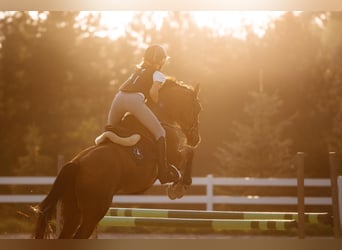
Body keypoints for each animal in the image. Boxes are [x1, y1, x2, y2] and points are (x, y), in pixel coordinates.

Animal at [33, 77, 202, 238]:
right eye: (198, 109)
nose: (196, 138)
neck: (161, 117)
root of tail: (76, 164)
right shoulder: (174, 156)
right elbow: (189, 153)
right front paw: (179, 187)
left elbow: (187, 154)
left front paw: (176, 186)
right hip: (95, 211)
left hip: (73, 211)